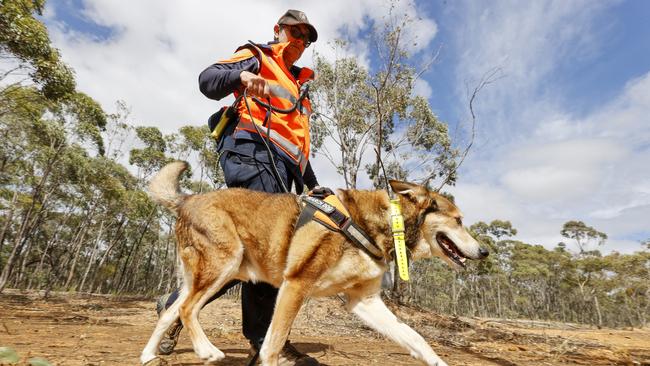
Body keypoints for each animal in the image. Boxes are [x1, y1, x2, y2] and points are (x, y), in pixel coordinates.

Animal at [140, 162, 486, 364]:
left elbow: (415, 337)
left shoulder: (364, 301)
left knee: (170, 310)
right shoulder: (295, 285)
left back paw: (148, 355)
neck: (382, 223)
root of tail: (187, 199)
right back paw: (206, 350)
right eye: (458, 220)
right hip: (224, 268)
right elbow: (271, 345)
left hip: (215, 274)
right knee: (187, 309)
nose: (484, 252)